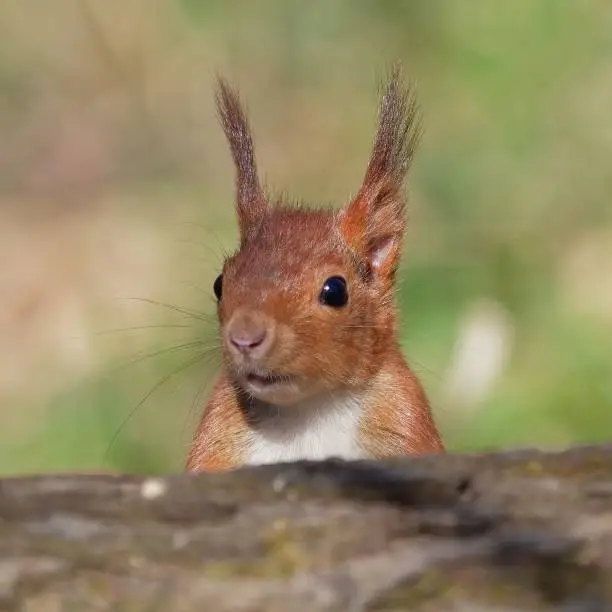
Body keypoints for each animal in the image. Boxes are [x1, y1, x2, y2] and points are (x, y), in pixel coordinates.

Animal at [186, 65, 444, 474]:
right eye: (219, 284)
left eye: (335, 290)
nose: (245, 338)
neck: (308, 414)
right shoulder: (219, 440)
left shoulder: (404, 422)